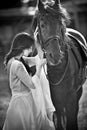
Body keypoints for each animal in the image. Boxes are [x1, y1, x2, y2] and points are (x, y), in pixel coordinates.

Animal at [31, 0, 87, 129]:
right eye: (42, 25)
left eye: (60, 24)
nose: (55, 56)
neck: (58, 70)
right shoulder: (56, 101)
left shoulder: (71, 98)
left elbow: (71, 119)